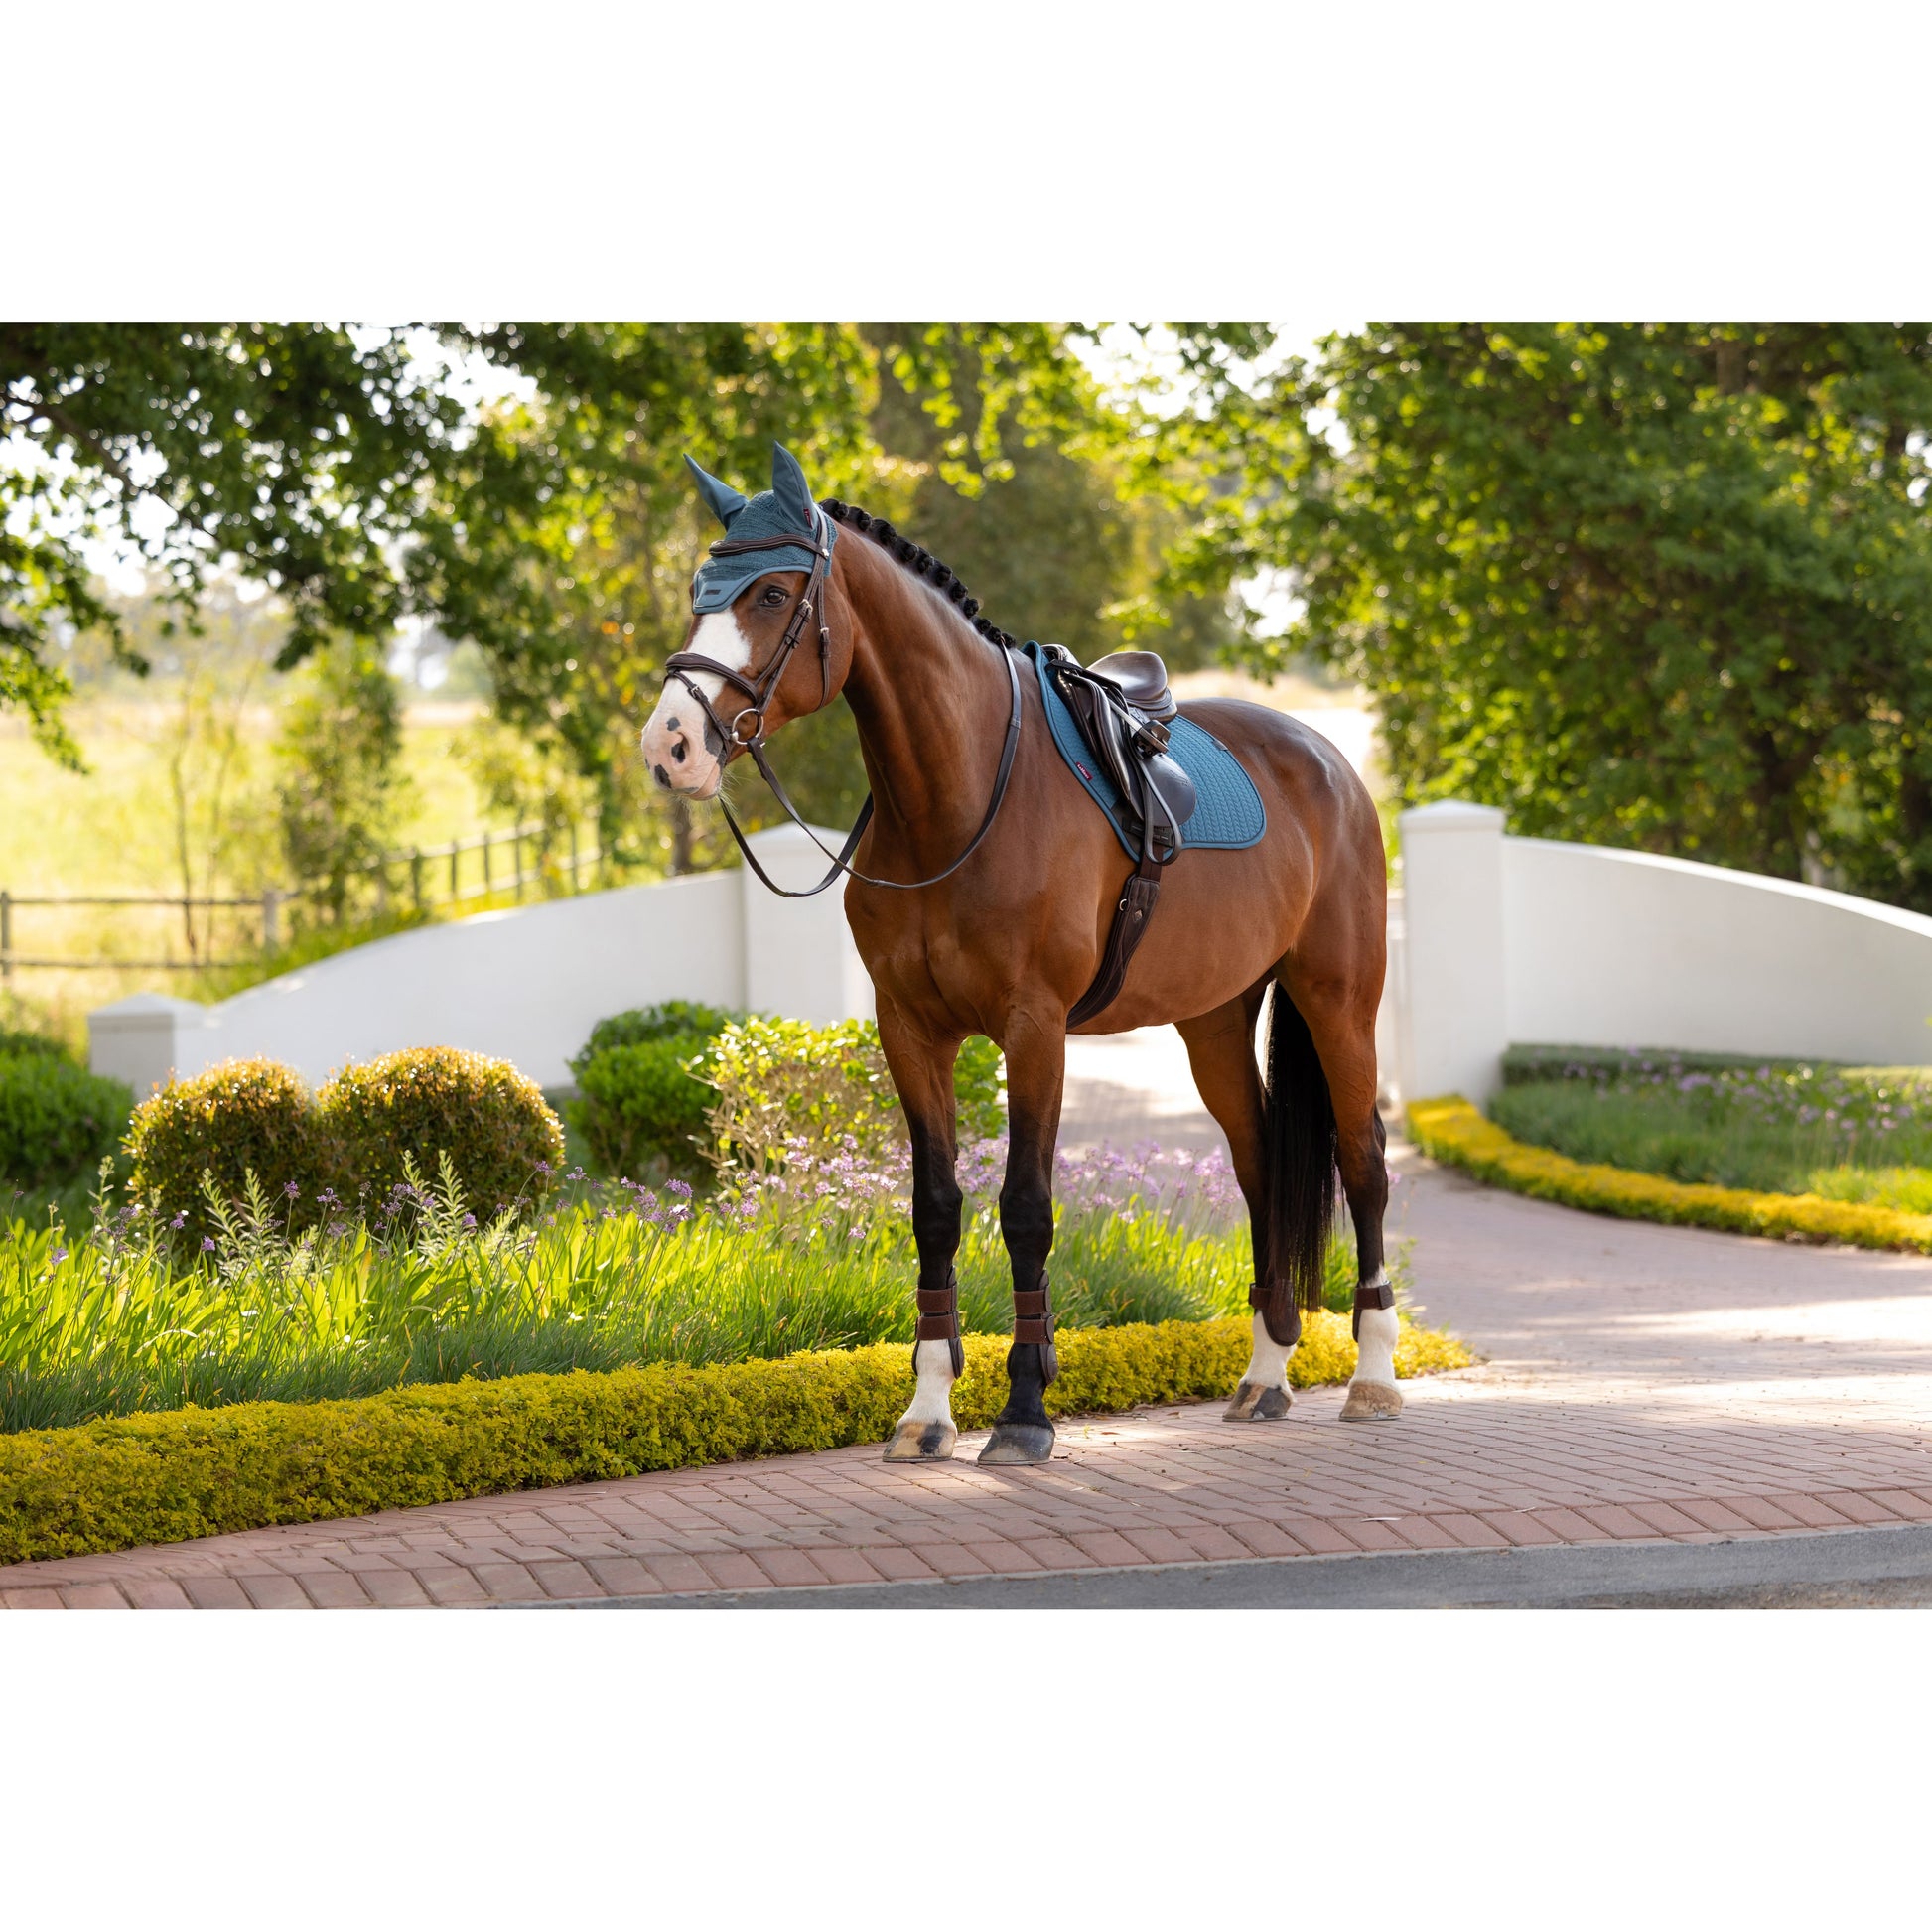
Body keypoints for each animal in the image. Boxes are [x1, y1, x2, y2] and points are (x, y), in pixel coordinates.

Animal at [641, 443, 1393, 1466]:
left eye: (769, 593)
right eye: (697, 590)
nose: (671, 745)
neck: (958, 798)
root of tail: (1328, 762)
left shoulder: (1034, 1028)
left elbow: (1026, 1207)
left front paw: (1026, 1410)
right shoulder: (909, 1030)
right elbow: (936, 1208)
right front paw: (926, 1412)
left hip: (1337, 1000)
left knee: (1364, 1162)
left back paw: (1373, 1378)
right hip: (1212, 1021)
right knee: (1259, 1163)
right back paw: (1266, 1375)